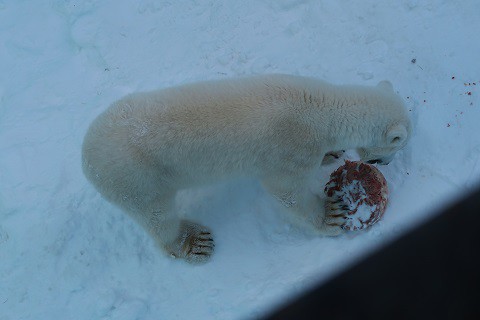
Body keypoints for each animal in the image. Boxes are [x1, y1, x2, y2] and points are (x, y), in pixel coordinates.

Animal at [80, 74, 410, 262]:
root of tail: (86, 157)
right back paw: (195, 243)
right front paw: (331, 215)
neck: (320, 107)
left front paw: (332, 153)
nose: (383, 162)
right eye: (396, 147)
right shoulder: (291, 147)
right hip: (137, 180)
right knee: (158, 217)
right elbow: (286, 191)